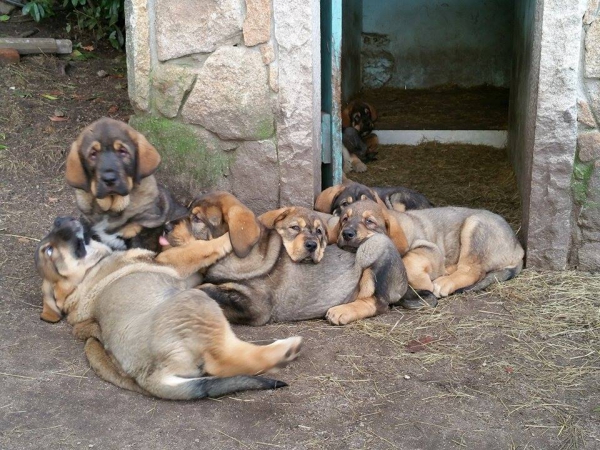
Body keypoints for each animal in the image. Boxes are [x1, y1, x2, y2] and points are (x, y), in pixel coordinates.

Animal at [35, 216, 302, 400]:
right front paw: (235, 232)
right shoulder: (172, 261)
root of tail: (147, 376)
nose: (59, 219)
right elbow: (205, 247)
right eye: (48, 250)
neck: (90, 272)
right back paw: (285, 349)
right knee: (225, 361)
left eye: (50, 242)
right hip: (197, 301)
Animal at [156, 192, 408, 326]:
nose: (165, 227)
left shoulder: (255, 305)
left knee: (379, 302)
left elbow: (207, 291)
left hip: (375, 246)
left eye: (196, 218)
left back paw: (343, 311)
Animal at [336, 200, 524, 302]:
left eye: (369, 221)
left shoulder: (430, 249)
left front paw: (423, 283)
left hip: (474, 226)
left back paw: (444, 282)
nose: (346, 234)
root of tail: (518, 249)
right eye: (344, 219)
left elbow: (409, 260)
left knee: (471, 271)